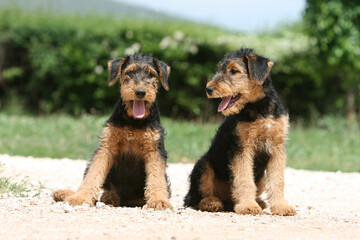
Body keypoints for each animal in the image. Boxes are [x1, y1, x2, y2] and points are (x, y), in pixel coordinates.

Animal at [51, 53, 173, 210]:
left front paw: (159, 201)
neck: (134, 121)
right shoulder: (107, 147)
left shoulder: (155, 150)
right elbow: (93, 175)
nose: (140, 92)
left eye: (151, 74)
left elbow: (156, 178)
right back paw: (69, 194)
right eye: (130, 72)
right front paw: (80, 198)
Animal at [184, 47, 296, 216]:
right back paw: (212, 203)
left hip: (261, 179)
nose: (208, 89)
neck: (260, 107)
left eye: (234, 71)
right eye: (220, 69)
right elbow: (244, 179)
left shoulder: (277, 148)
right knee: (196, 199)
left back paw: (258, 202)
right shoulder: (242, 148)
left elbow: (277, 180)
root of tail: (226, 200)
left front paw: (281, 207)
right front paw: (248, 206)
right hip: (203, 167)